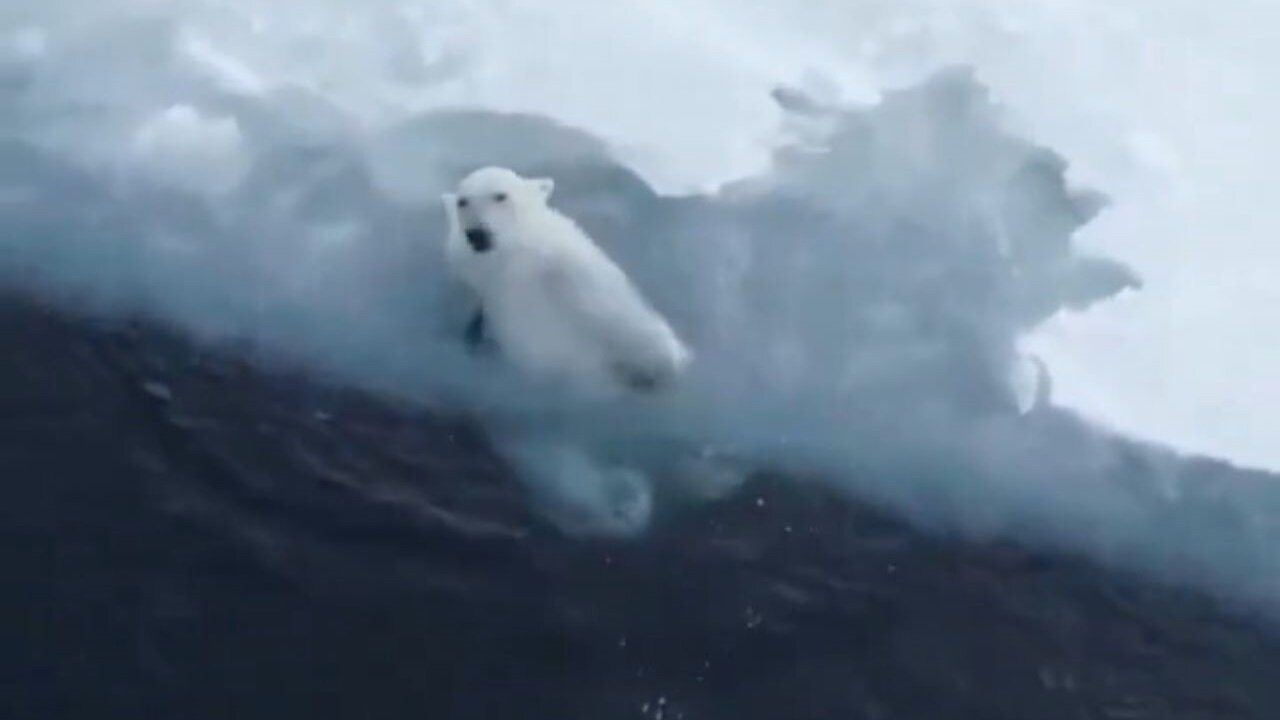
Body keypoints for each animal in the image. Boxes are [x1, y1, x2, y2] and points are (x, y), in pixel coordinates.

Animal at [445, 166, 696, 394]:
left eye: (500, 195)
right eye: (462, 202)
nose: (477, 234)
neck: (511, 262)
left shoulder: (569, 267)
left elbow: (614, 311)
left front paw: (659, 365)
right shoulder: (490, 292)